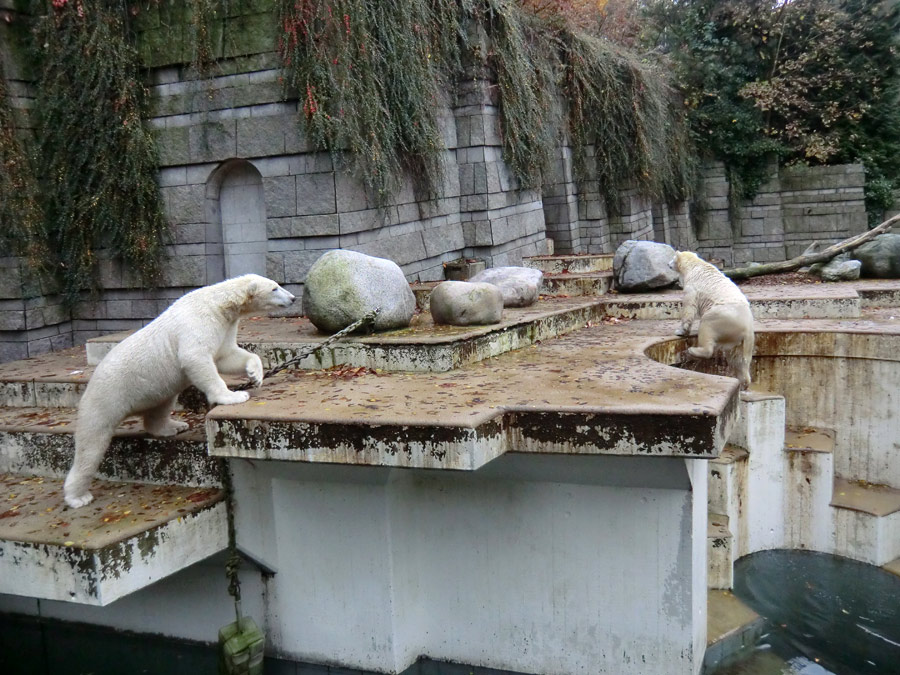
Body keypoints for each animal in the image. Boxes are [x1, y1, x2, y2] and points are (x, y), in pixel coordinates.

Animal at [64, 274, 296, 508]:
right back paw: (78, 497)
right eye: (275, 288)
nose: (293, 298)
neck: (218, 304)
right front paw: (234, 396)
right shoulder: (198, 323)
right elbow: (196, 358)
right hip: (107, 397)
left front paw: (255, 375)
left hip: (154, 391)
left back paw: (173, 426)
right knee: (91, 443)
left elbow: (227, 356)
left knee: (160, 407)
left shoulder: (225, 326)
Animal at [672, 252, 756, 390]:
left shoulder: (692, 287)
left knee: (706, 328)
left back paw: (693, 350)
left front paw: (680, 330)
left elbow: (689, 306)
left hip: (719, 318)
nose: (668, 263)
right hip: (740, 342)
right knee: (739, 360)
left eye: (672, 258)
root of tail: (748, 329)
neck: (695, 265)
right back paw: (744, 383)